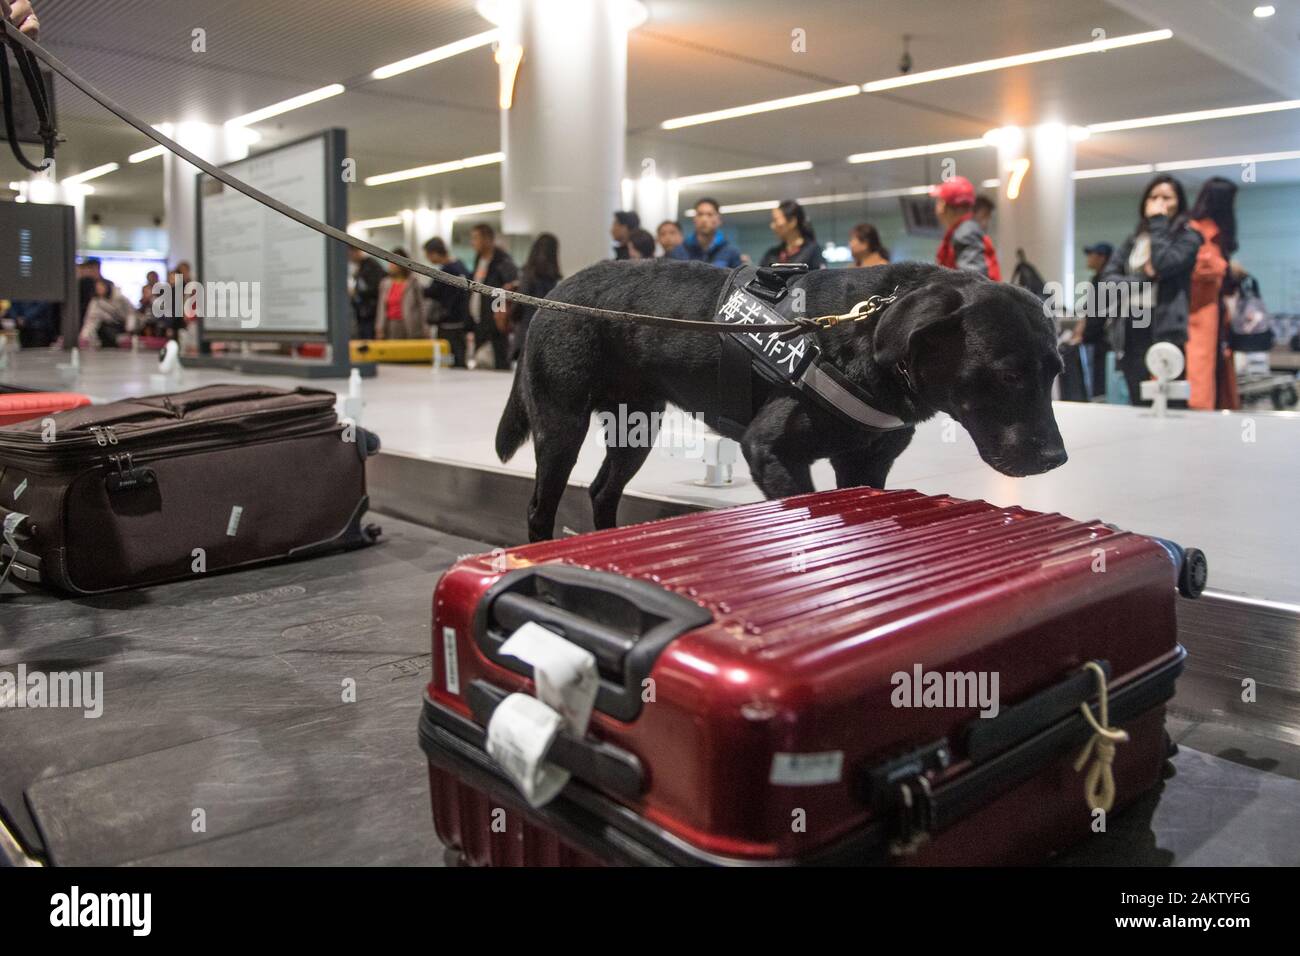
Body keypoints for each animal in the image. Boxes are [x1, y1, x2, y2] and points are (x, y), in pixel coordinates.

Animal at [496, 257, 1066, 541]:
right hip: (562, 427)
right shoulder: (770, 451)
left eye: (1056, 373)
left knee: (601, 492)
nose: (1055, 458)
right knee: (539, 507)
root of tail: (552, 294)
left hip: (636, 428)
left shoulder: (865, 466)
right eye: (1009, 375)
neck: (869, 331)